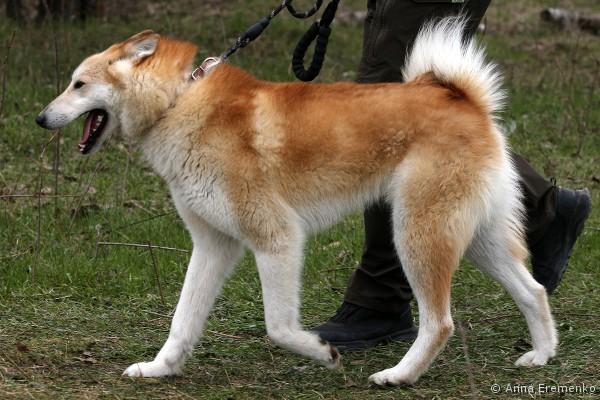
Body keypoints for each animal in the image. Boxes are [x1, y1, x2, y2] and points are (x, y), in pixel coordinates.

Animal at [36, 16, 557, 385]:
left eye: (78, 85)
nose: (40, 118)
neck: (178, 102)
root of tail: (462, 97)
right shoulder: (213, 245)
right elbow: (182, 321)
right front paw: (161, 368)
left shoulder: (277, 239)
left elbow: (279, 327)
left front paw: (322, 352)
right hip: (476, 238)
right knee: (533, 290)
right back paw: (541, 355)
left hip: (417, 234)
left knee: (441, 322)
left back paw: (400, 375)